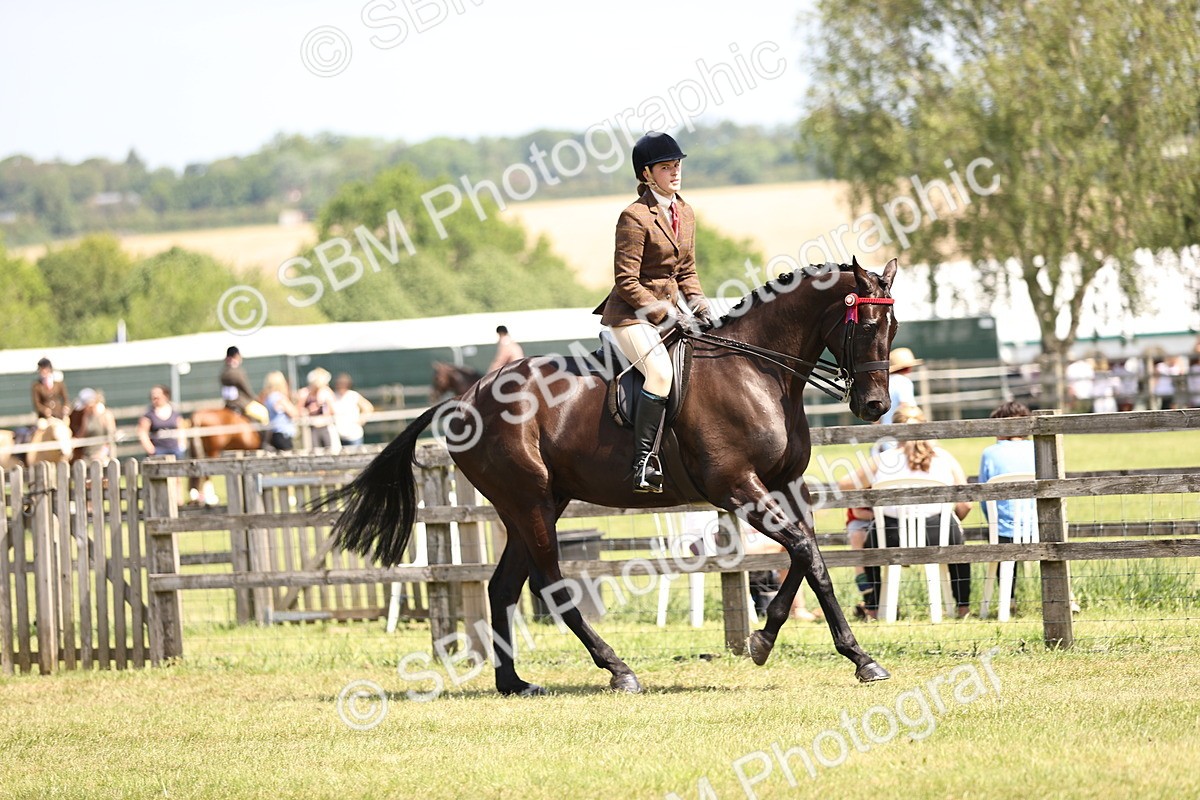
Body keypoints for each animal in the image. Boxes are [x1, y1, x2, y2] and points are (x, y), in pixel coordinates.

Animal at [325, 257, 899, 696]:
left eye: (891, 330)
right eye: (865, 326)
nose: (874, 406)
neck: (759, 372)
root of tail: (465, 399)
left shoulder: (786, 485)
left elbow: (810, 556)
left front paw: (797, 645)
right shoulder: (738, 486)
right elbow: (804, 552)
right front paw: (834, 653)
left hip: (532, 504)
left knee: (503, 586)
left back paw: (514, 683)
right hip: (530, 503)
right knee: (551, 585)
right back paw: (618, 670)